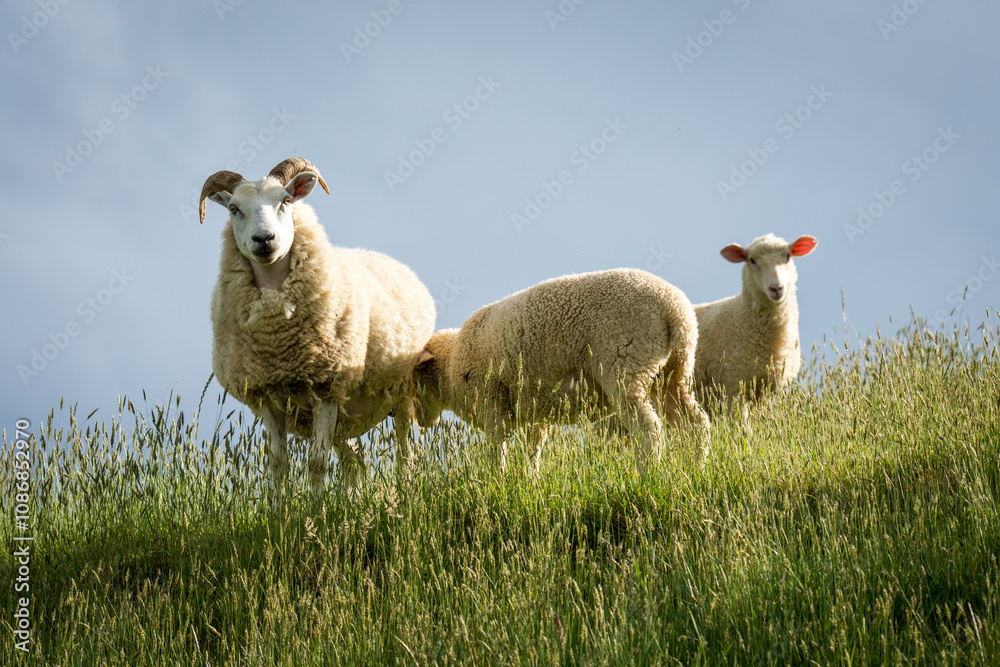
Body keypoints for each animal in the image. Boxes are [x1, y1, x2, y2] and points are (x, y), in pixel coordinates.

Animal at [199, 157, 435, 499]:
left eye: (286, 201)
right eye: (233, 208)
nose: (264, 240)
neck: (277, 342)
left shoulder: (327, 389)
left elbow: (317, 462)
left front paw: (314, 508)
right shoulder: (267, 398)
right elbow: (278, 464)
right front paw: (281, 509)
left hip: (401, 392)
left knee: (406, 454)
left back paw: (405, 498)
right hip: (345, 419)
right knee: (354, 462)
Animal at [412, 268, 710, 473]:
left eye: (412, 379)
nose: (419, 421)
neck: (450, 364)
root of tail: (675, 310)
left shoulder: (492, 406)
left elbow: (497, 451)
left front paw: (497, 482)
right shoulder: (534, 410)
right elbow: (533, 451)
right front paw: (529, 483)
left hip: (626, 365)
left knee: (648, 429)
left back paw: (648, 475)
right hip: (674, 371)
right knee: (695, 423)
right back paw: (695, 468)